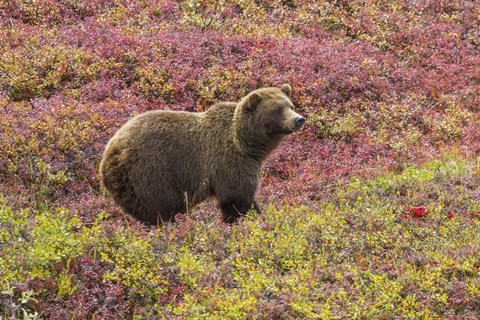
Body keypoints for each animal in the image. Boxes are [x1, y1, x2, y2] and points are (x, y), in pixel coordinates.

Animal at [99, 85, 306, 225]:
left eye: (291, 105)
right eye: (277, 109)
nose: (299, 119)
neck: (247, 144)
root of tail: (108, 153)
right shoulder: (229, 161)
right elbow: (236, 197)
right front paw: (246, 219)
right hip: (149, 173)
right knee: (159, 209)